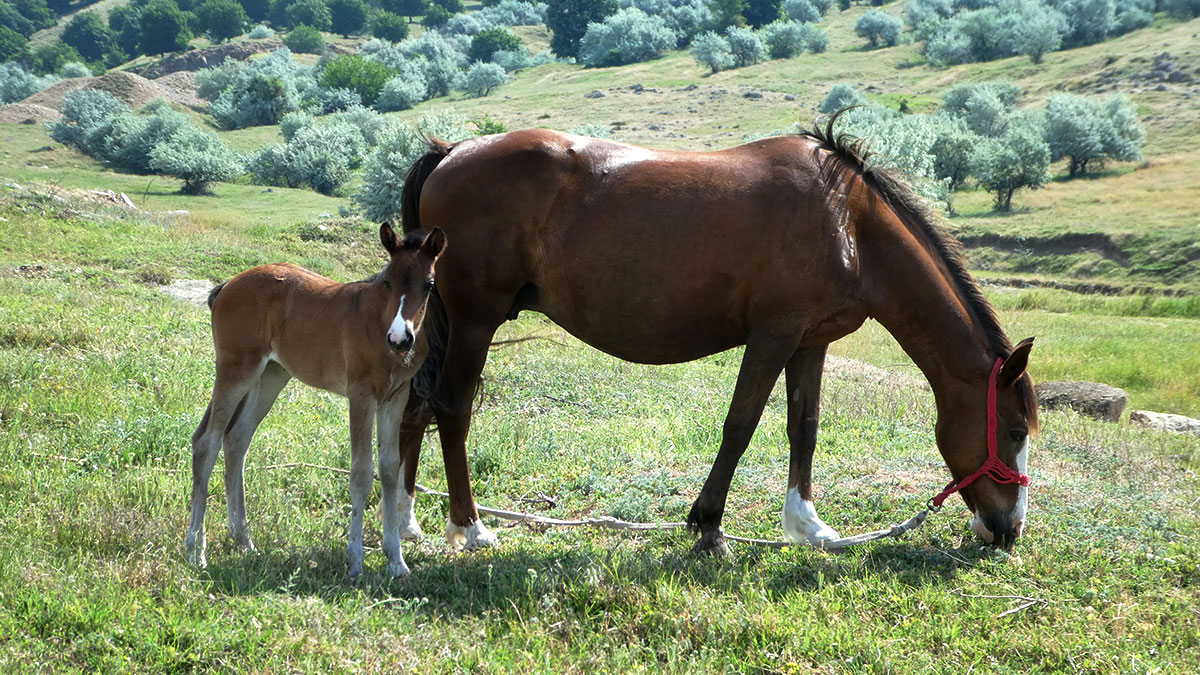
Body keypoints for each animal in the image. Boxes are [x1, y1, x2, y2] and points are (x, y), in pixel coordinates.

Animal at [184, 223, 448, 576]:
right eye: (388, 281)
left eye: (429, 285)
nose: (399, 338)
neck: (378, 322)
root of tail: (226, 286)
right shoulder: (361, 395)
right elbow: (361, 472)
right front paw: (355, 561)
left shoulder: (395, 397)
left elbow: (390, 469)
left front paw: (396, 561)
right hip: (236, 370)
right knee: (208, 443)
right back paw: (195, 551)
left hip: (271, 376)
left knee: (237, 439)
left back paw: (244, 541)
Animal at [398, 110, 1036, 552]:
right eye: (1012, 430)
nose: (1007, 530)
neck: (847, 220)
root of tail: (452, 150)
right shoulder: (774, 335)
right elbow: (741, 425)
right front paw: (708, 526)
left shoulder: (811, 341)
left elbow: (803, 427)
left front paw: (807, 525)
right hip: (475, 320)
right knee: (451, 407)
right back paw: (470, 528)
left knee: (415, 406)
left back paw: (404, 521)